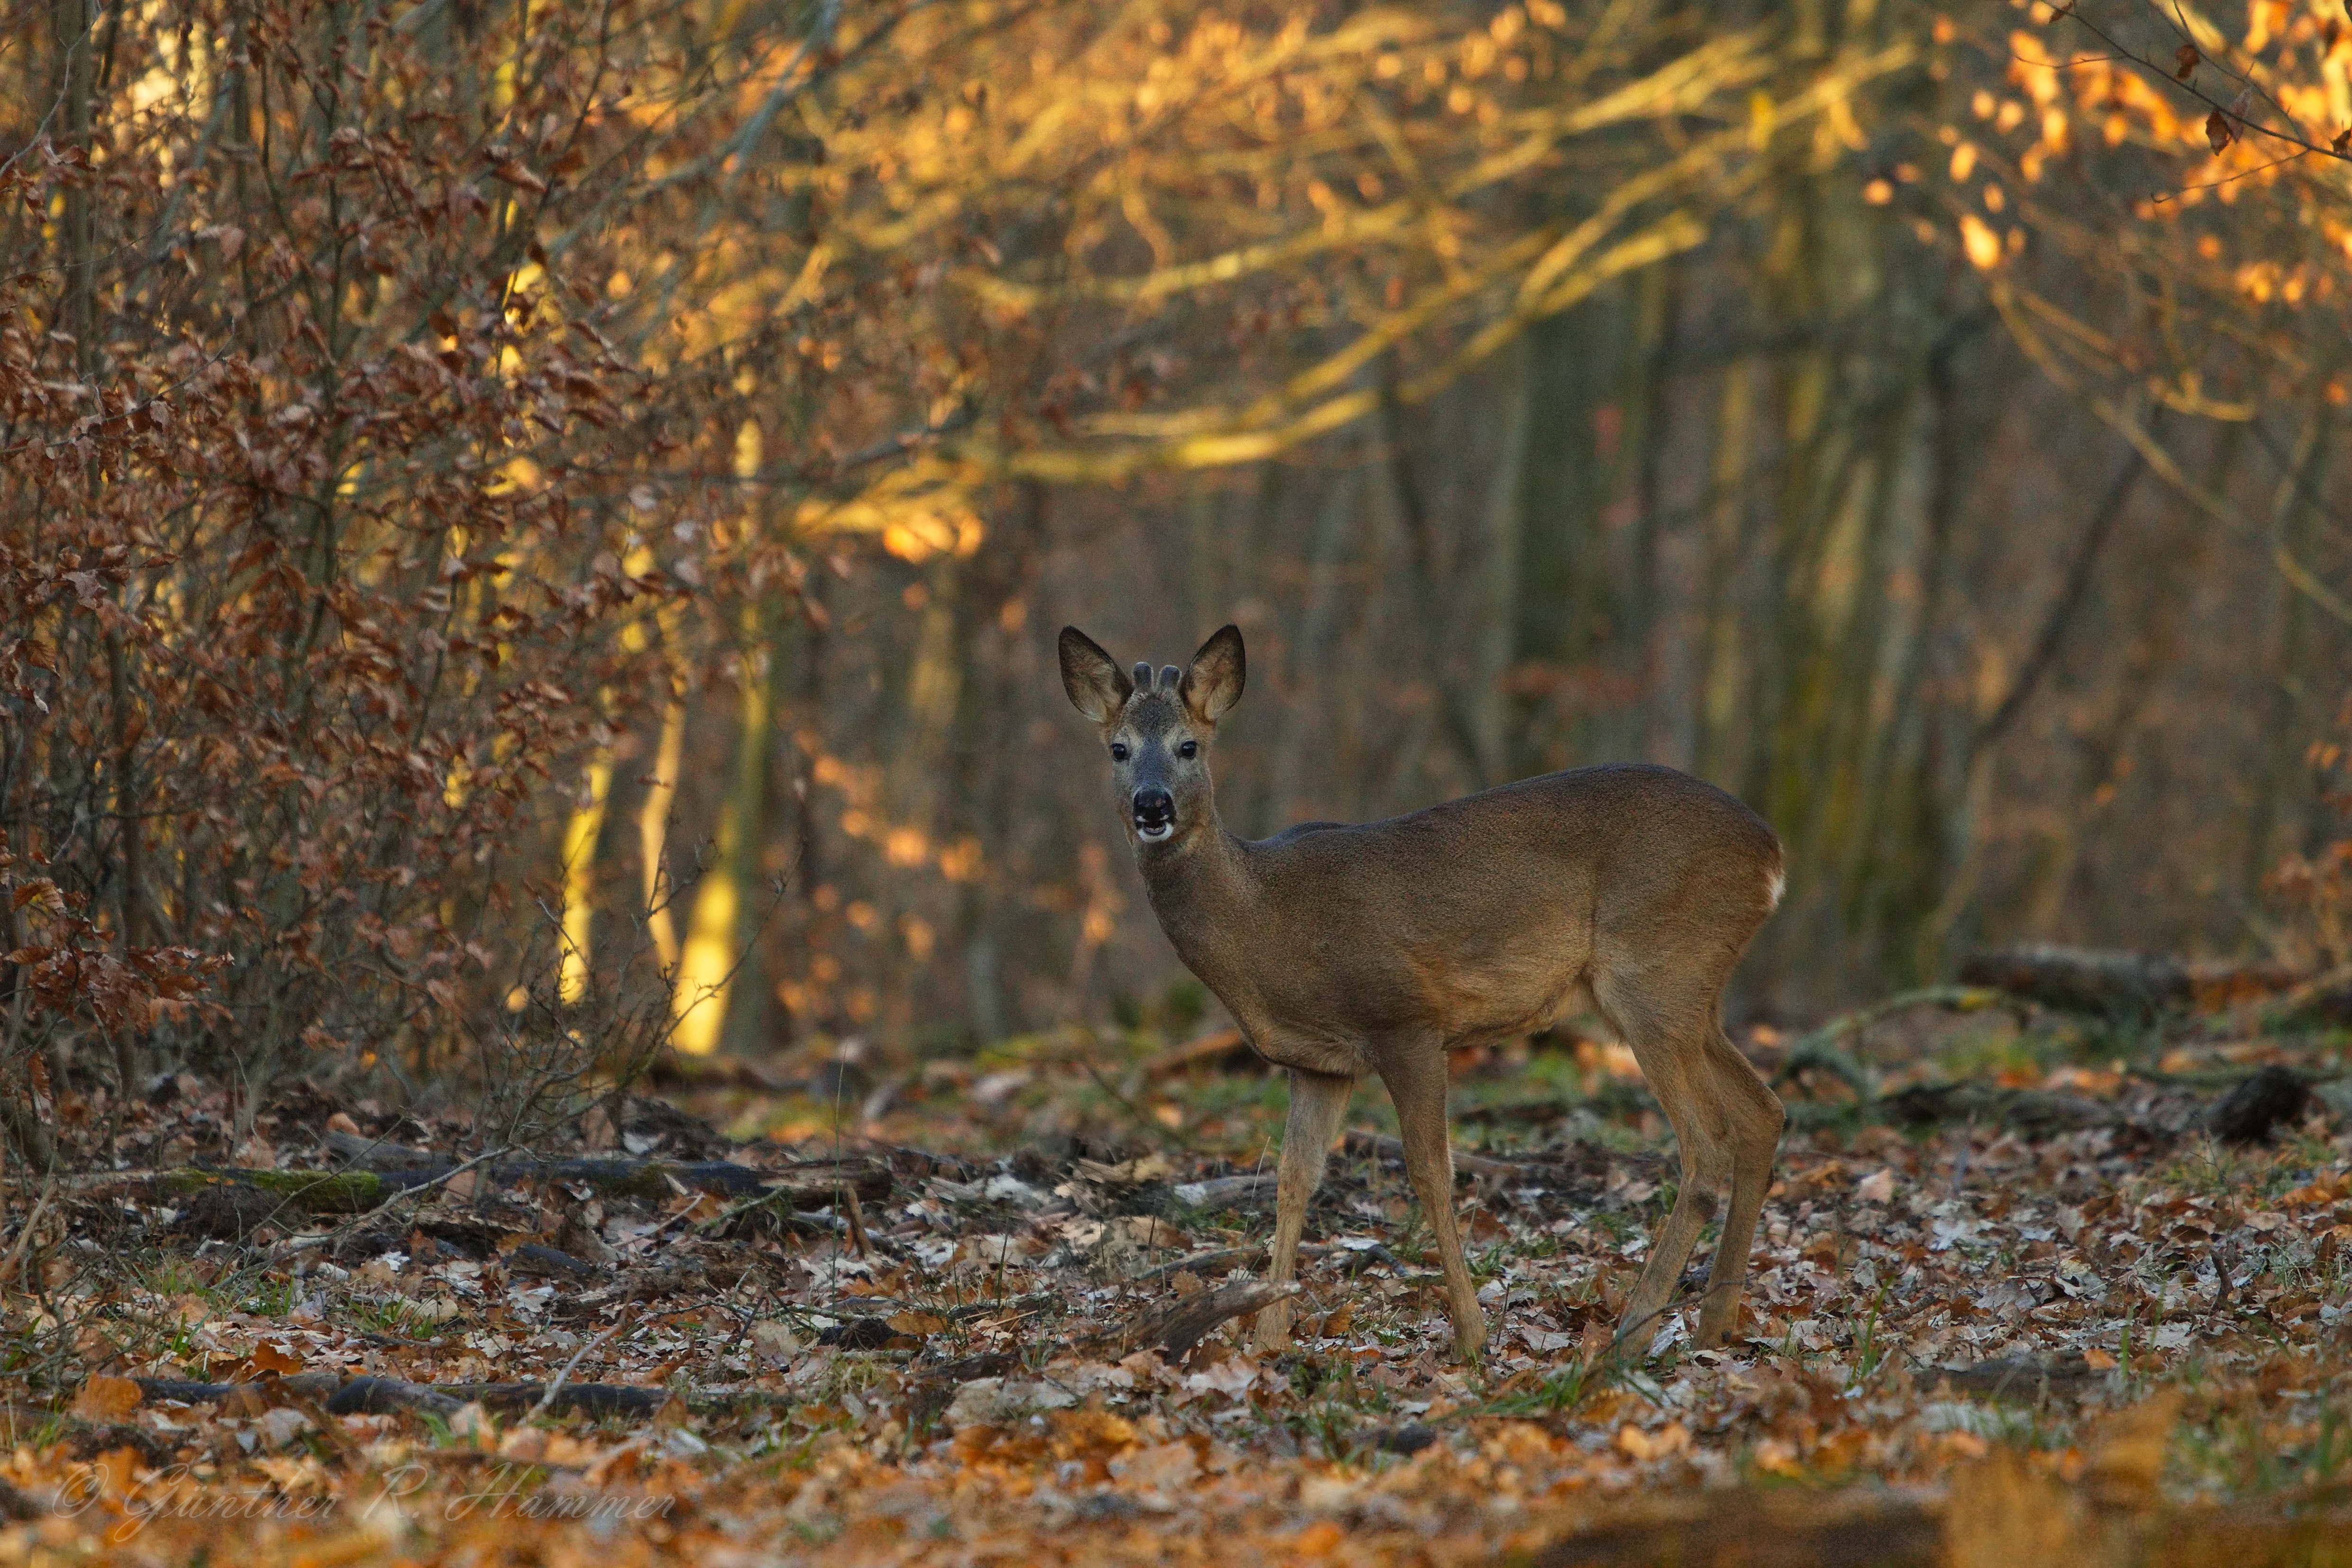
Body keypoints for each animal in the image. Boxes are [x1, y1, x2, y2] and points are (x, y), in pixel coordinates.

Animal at [1063, 620, 1778, 1354]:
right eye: (1118, 749)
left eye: (1189, 745)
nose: (1153, 804)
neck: (1264, 916)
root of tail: (1771, 854)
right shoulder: (1319, 1064)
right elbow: (1292, 1178)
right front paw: (1267, 1332)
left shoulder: (1406, 1019)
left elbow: (1432, 1174)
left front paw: (1470, 1334)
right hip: (1689, 992)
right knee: (1762, 1113)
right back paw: (1713, 1323)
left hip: (1654, 972)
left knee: (1706, 1149)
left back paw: (1630, 1335)